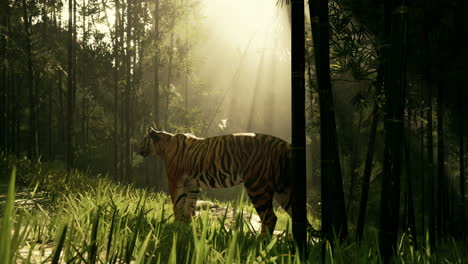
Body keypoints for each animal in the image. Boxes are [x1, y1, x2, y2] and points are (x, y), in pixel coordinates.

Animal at [139, 128, 320, 237]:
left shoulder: (175, 180)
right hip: (284, 191)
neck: (164, 145)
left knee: (270, 217)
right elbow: (189, 204)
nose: (138, 150)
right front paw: (188, 226)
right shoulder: (192, 184)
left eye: (144, 140)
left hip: (257, 187)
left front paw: (176, 225)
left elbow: (177, 203)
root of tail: (286, 145)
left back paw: (259, 242)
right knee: (296, 216)